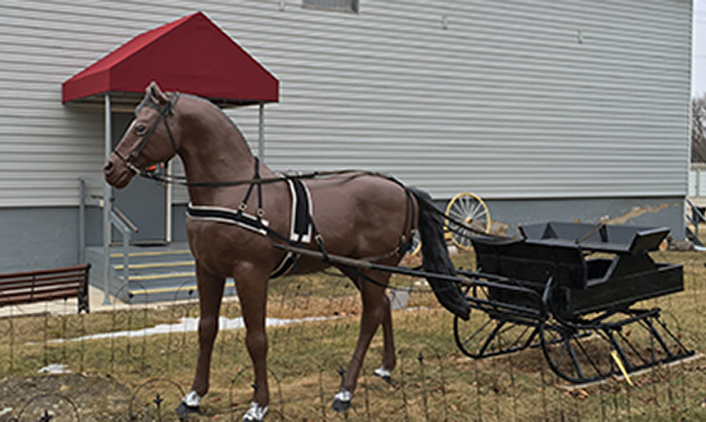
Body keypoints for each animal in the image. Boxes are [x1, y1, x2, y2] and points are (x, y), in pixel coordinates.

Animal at [104, 82, 470, 421]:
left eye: (140, 127)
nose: (110, 168)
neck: (232, 191)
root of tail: (403, 190)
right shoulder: (206, 269)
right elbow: (206, 329)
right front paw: (193, 397)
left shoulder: (250, 273)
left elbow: (256, 339)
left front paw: (258, 405)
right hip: (358, 268)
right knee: (382, 307)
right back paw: (385, 368)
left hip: (374, 267)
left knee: (370, 316)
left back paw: (345, 391)